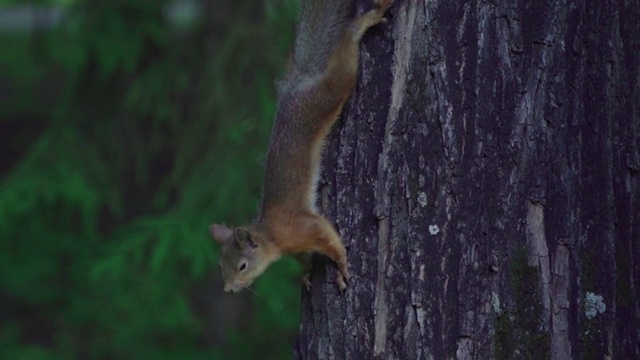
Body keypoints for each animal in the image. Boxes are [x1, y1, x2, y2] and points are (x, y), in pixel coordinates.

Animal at [210, 0, 392, 292]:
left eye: (242, 266)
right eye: (220, 265)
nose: (229, 288)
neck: (271, 236)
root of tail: (299, 82)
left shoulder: (302, 227)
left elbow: (328, 237)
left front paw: (342, 265)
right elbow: (306, 257)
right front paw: (307, 272)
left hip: (326, 95)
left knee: (343, 60)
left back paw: (363, 23)